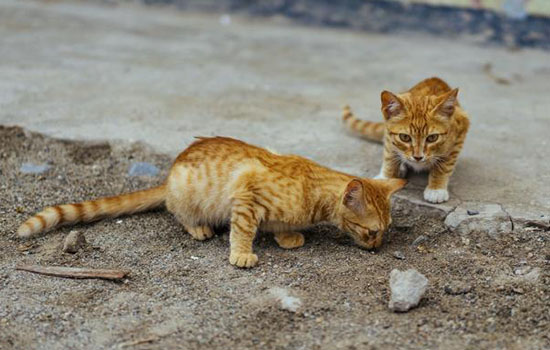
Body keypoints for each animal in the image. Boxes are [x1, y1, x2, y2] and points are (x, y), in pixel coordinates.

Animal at [17, 137, 408, 268]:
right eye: (372, 232)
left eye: (386, 230)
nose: (378, 248)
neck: (312, 190)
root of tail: (169, 175)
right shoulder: (247, 196)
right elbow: (243, 230)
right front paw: (242, 254)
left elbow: (282, 225)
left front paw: (287, 236)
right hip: (187, 195)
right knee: (178, 214)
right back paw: (199, 228)